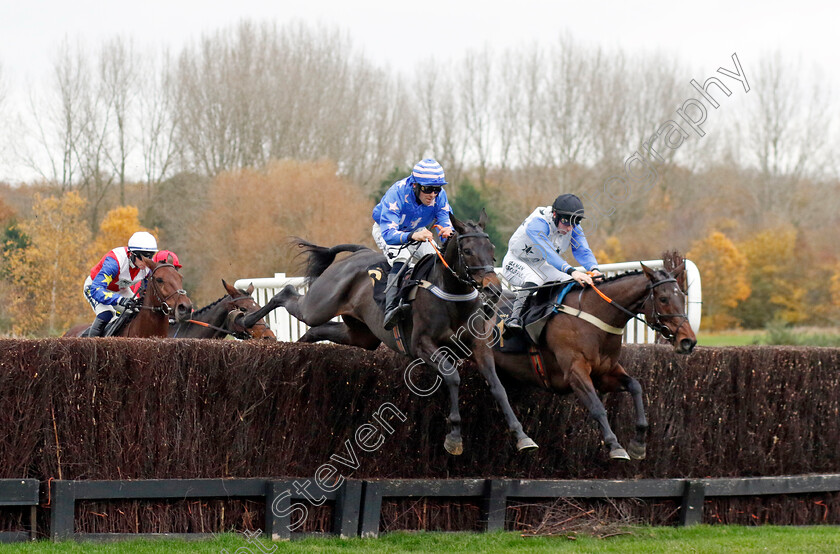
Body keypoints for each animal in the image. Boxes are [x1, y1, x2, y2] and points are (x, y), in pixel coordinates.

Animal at [276, 210, 540, 452]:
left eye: (491, 247)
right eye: (467, 251)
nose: (493, 289)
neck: (453, 296)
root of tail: (359, 253)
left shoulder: (478, 345)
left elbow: (497, 386)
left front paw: (521, 435)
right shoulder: (422, 344)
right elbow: (452, 376)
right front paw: (454, 435)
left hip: (361, 335)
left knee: (318, 330)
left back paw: (298, 345)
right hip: (319, 305)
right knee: (287, 294)